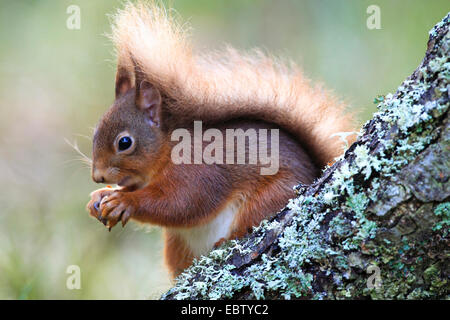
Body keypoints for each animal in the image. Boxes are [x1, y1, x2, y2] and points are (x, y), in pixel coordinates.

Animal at [87, 1, 356, 278]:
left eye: (124, 143)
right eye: (95, 132)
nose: (97, 176)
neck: (168, 150)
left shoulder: (197, 171)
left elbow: (181, 203)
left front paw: (124, 201)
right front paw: (100, 196)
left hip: (271, 197)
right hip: (176, 245)